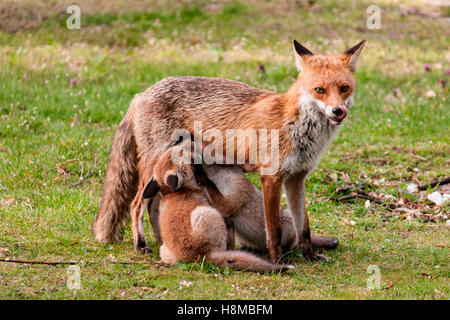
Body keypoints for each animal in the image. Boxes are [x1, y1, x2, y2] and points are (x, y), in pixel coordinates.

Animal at [142, 146, 294, 272]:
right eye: (179, 152)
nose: (179, 141)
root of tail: (202, 258)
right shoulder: (225, 203)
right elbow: (214, 192)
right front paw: (201, 174)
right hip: (204, 214)